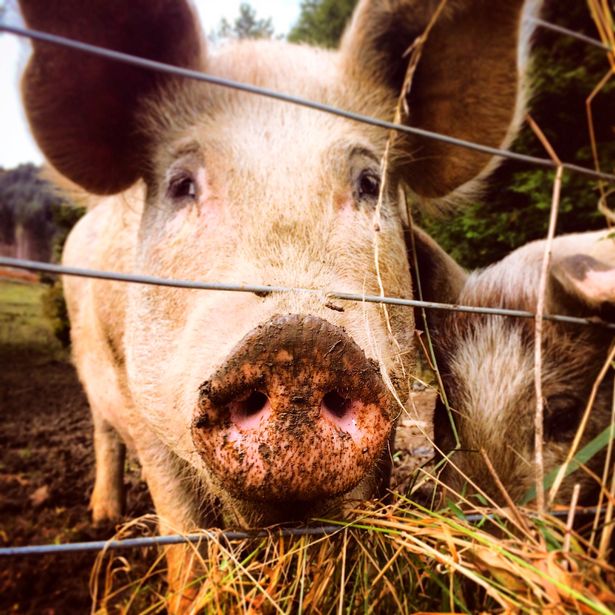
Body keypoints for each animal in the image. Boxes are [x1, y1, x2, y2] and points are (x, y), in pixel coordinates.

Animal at [16, 0, 532, 600]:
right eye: (181, 185)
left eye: (370, 183)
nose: (298, 341)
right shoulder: (142, 406)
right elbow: (183, 535)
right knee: (102, 431)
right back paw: (102, 516)